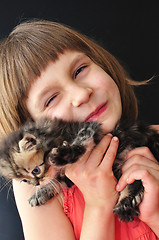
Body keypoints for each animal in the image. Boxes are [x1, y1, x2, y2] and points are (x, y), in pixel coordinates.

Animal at [0, 118, 159, 221]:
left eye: (35, 171)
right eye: (25, 181)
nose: (36, 184)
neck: (54, 135)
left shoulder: (89, 128)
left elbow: (80, 143)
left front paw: (64, 154)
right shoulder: (67, 178)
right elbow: (57, 183)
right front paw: (40, 193)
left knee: (133, 181)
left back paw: (124, 206)